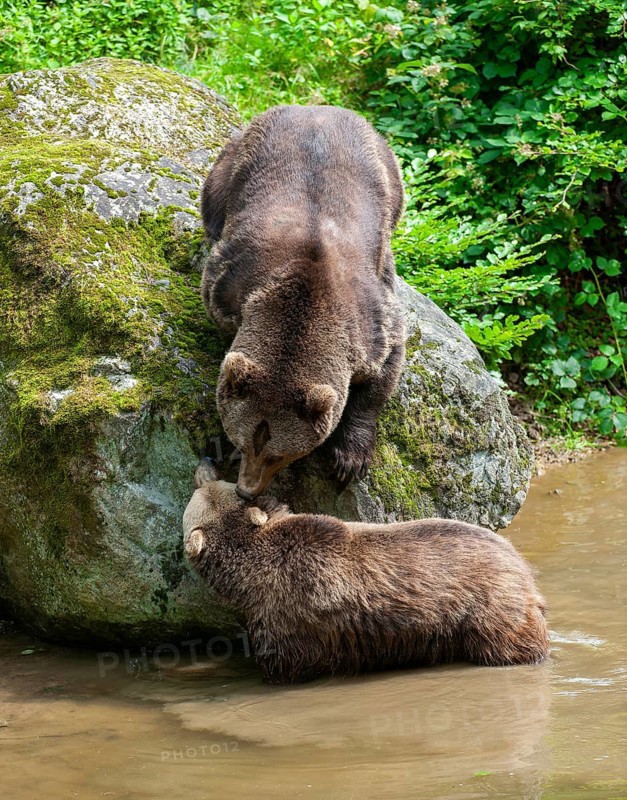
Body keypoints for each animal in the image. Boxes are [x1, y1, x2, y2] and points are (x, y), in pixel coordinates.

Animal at [200, 104, 405, 499]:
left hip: (390, 174)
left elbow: (383, 370)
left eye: (279, 454)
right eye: (242, 442)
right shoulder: (231, 282)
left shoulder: (371, 320)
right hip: (232, 161)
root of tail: (316, 106)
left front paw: (349, 458)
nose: (247, 490)